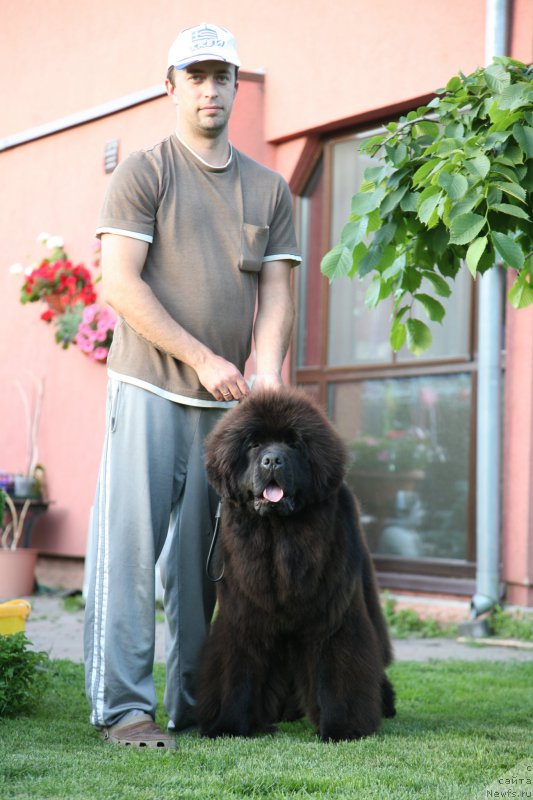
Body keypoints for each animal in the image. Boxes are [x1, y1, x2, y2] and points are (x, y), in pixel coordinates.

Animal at [195, 388, 394, 744]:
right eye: (254, 444)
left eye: (294, 444)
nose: (273, 460)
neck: (278, 535)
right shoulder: (243, 618)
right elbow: (236, 673)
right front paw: (227, 724)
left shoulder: (332, 618)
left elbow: (338, 671)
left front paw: (341, 728)